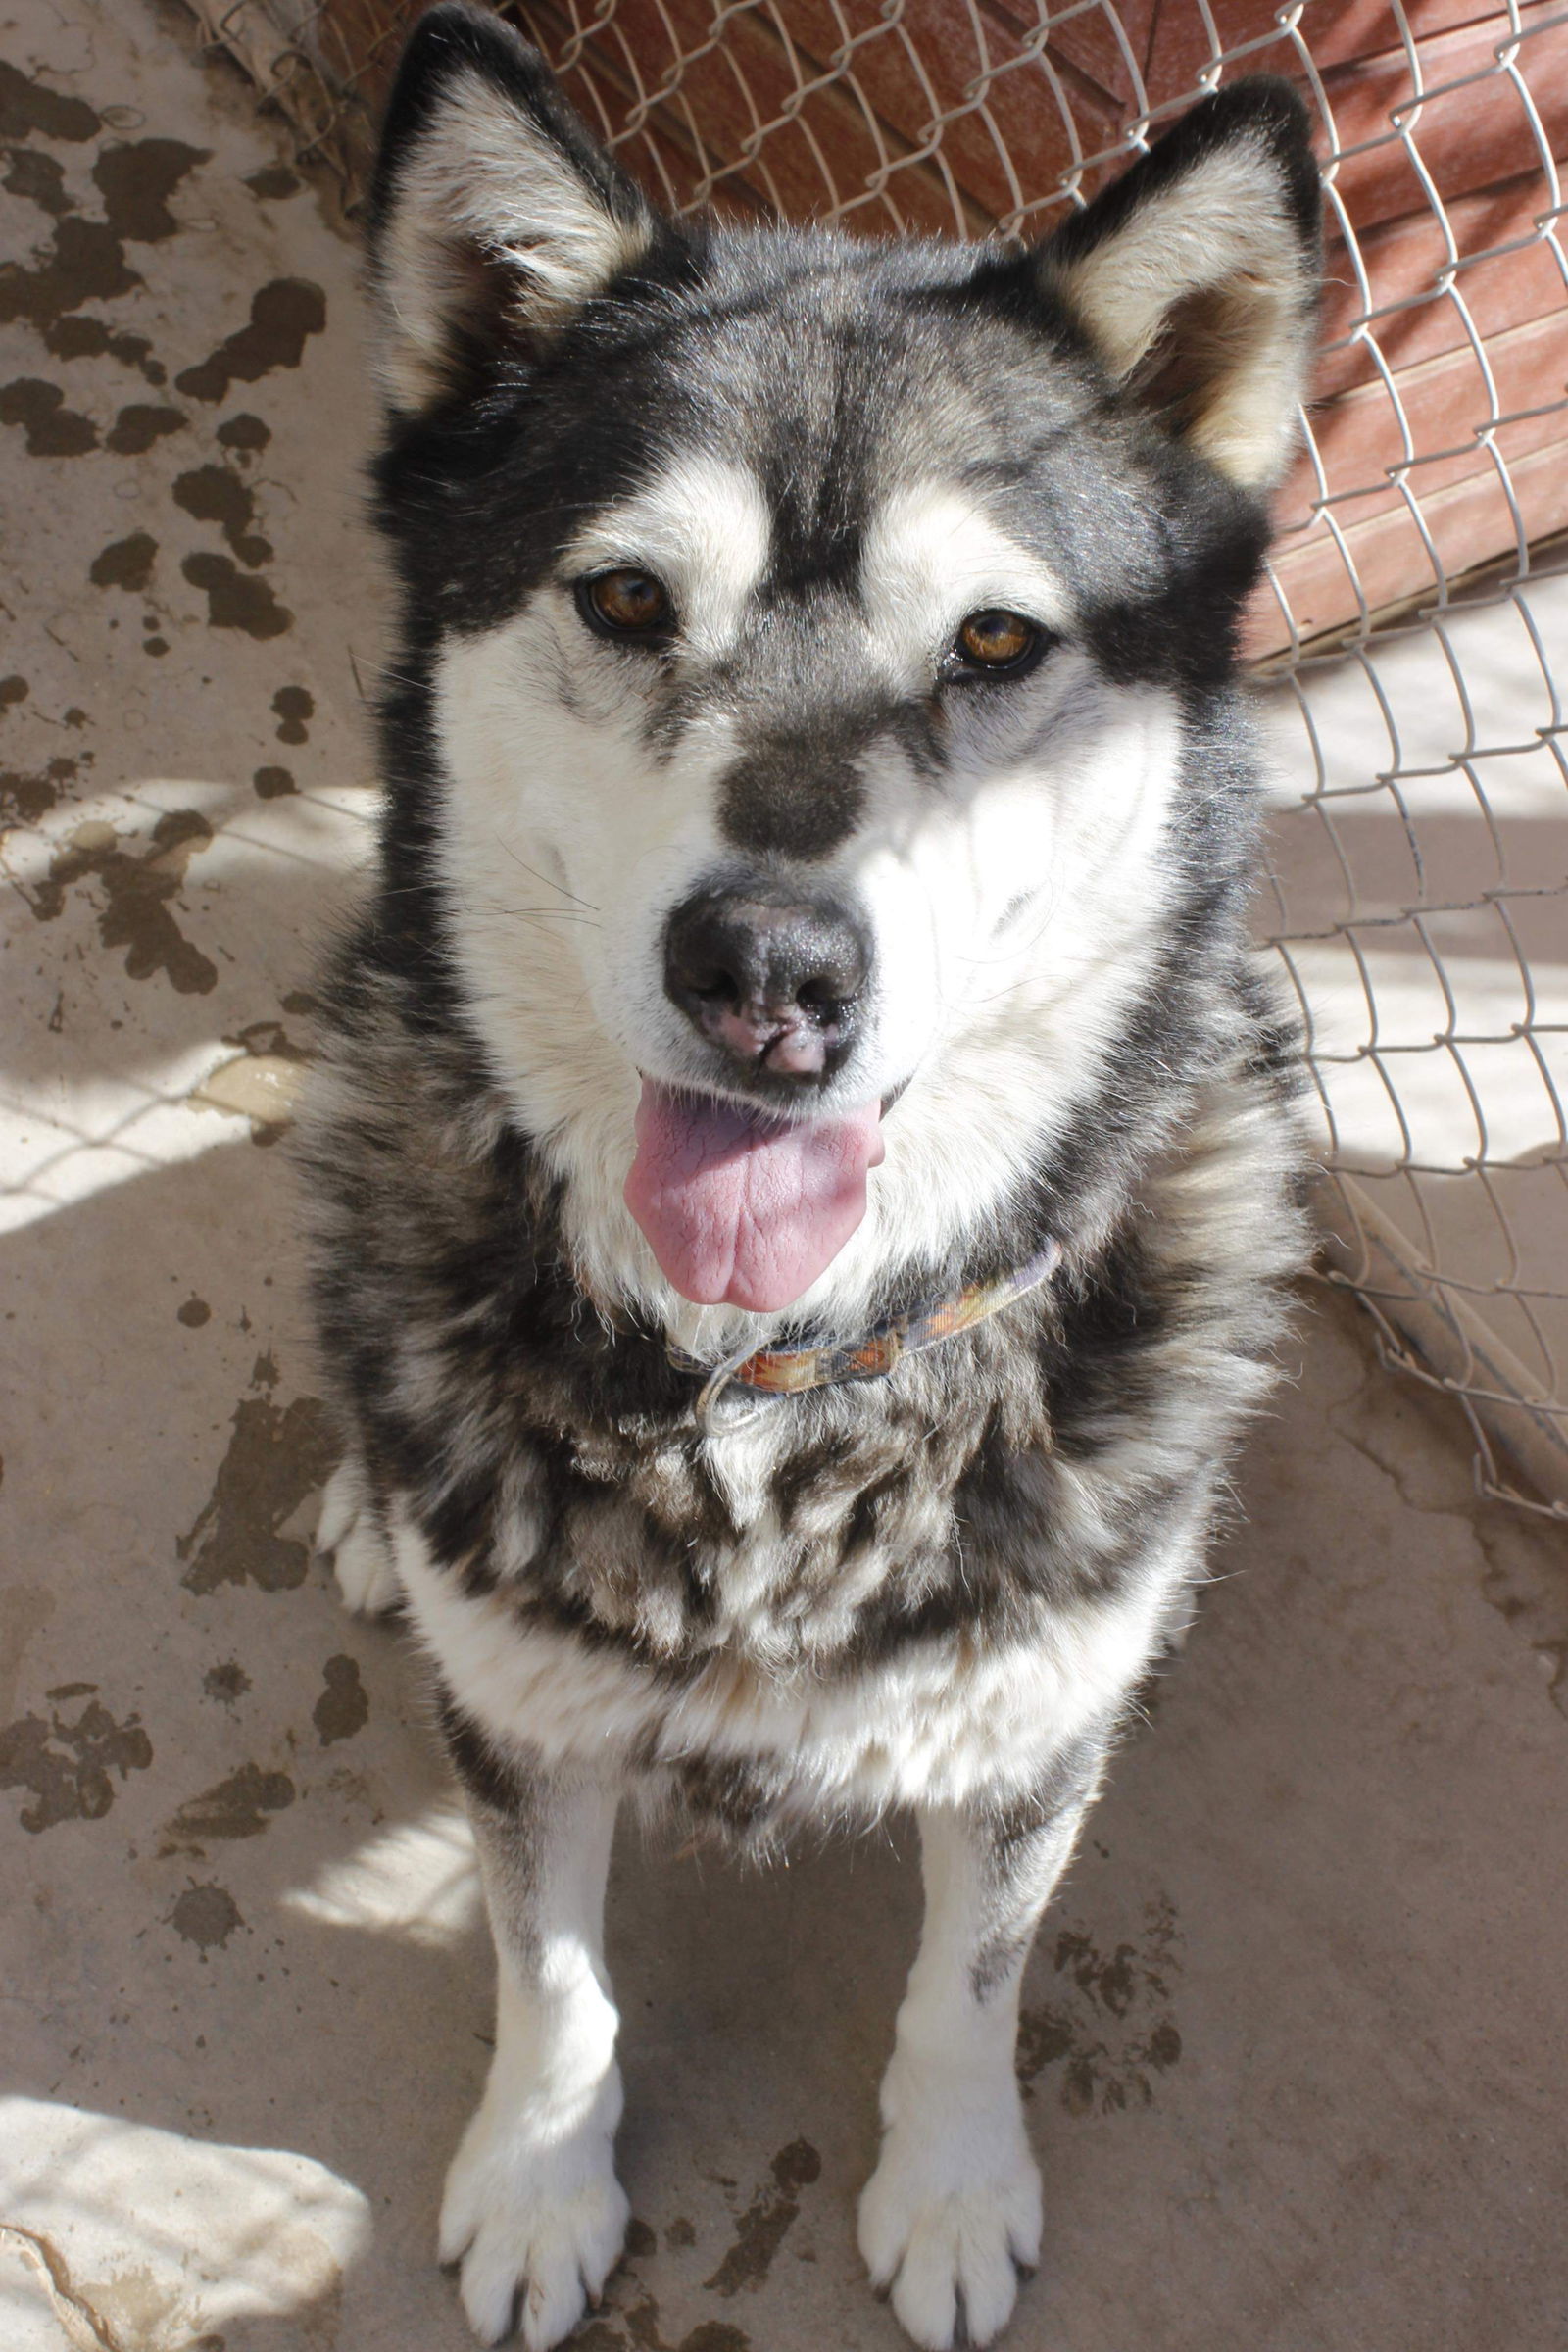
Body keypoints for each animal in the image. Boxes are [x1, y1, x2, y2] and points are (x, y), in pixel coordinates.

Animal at [301, 9, 1316, 2342]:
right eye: (621, 595)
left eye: (998, 646)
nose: (766, 970)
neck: (777, 1386)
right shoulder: (519, 1721)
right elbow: (551, 1979)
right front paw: (540, 2183)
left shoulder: (1036, 1726)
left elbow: (971, 1981)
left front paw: (947, 2189)